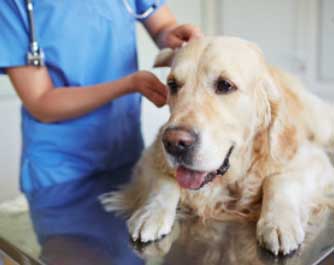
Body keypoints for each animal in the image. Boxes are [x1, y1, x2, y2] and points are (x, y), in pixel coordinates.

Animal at [100, 36, 334, 255]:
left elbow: (278, 181)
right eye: (173, 84)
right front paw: (150, 213)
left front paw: (278, 224)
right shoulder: (150, 156)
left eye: (225, 85)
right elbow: (164, 181)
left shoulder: (314, 161)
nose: (174, 143)